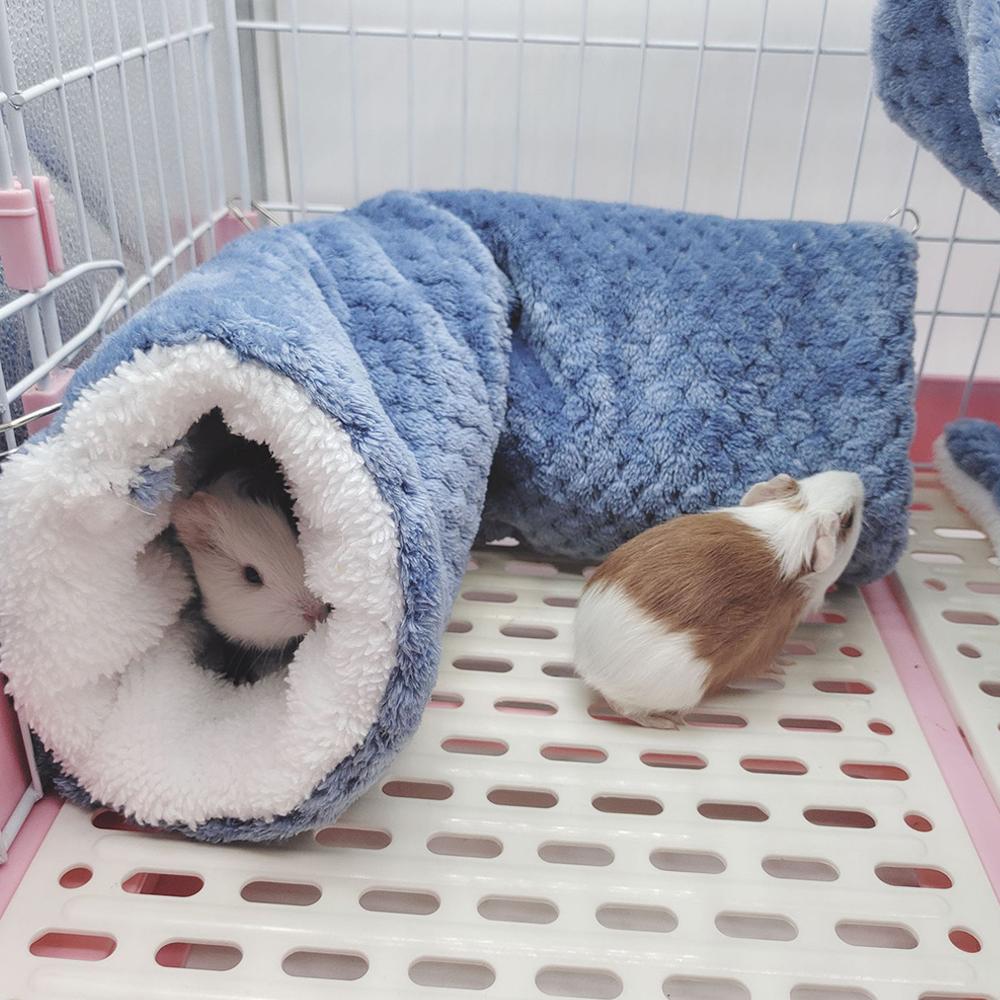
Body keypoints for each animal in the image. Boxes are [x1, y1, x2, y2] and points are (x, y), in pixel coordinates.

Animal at [573, 471, 864, 728]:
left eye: (810, 478)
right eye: (848, 519)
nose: (858, 478)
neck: (796, 520)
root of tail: (586, 664)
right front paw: (783, 665)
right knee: (623, 707)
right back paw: (666, 723)